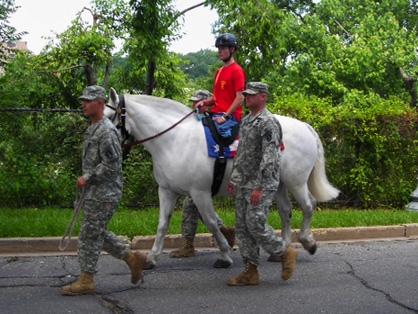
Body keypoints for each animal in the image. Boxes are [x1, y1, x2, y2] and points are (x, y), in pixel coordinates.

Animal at [104, 89, 340, 270]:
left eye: (107, 116)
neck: (174, 139)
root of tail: (305, 126)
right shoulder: (167, 191)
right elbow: (163, 224)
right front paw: (152, 258)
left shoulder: (200, 192)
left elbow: (210, 222)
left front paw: (225, 254)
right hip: (278, 184)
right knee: (286, 211)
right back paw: (282, 250)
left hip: (296, 182)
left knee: (308, 205)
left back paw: (307, 241)